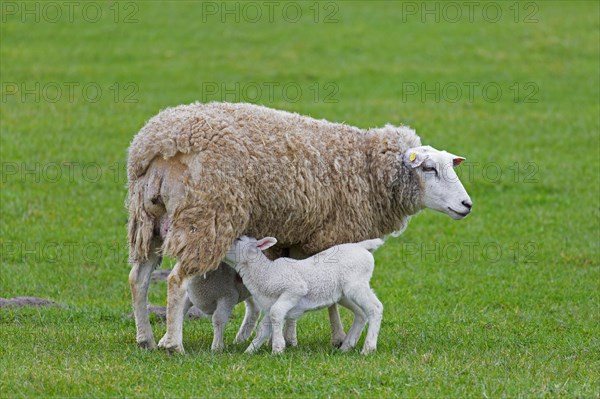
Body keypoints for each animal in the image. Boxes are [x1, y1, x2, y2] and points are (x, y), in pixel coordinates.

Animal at [224, 236, 384, 354]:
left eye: (238, 239)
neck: (266, 273)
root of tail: (361, 247)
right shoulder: (270, 305)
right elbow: (263, 329)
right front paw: (249, 351)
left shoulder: (295, 289)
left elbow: (276, 313)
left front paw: (277, 349)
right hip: (344, 293)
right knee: (361, 313)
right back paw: (345, 347)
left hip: (356, 284)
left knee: (375, 308)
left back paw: (368, 348)